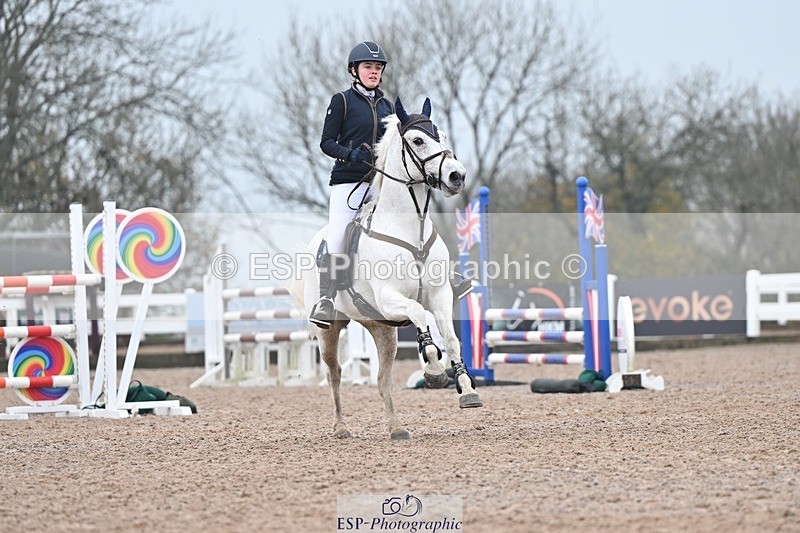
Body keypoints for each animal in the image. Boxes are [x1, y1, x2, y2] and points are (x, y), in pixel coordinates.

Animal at [296, 97, 483, 440]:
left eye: (443, 137)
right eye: (418, 141)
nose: (457, 176)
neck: (410, 229)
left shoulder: (439, 296)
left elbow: (450, 338)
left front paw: (467, 389)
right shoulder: (390, 297)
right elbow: (420, 315)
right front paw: (434, 370)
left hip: (382, 329)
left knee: (383, 379)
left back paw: (397, 428)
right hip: (330, 329)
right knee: (334, 373)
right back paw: (341, 428)